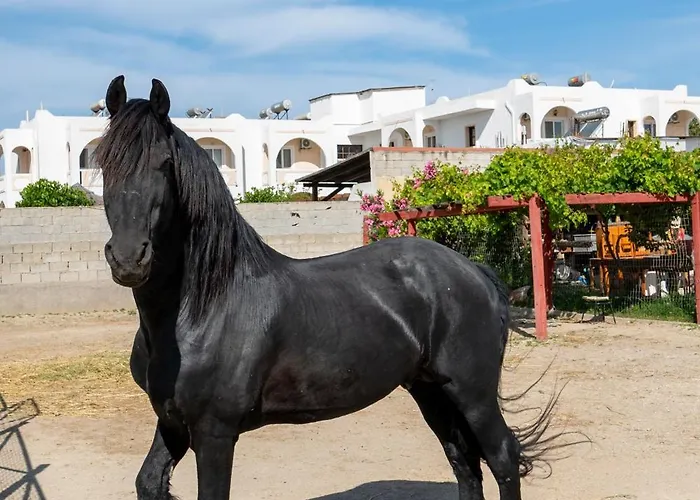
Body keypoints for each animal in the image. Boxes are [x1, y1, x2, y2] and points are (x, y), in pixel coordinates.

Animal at [94, 75, 574, 500]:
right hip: (430, 390)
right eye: (103, 162)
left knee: (502, 458)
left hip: (472, 393)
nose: (129, 258)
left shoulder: (214, 433)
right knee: (464, 462)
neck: (203, 309)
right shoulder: (172, 423)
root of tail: (473, 270)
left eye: (165, 163)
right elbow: (148, 482)